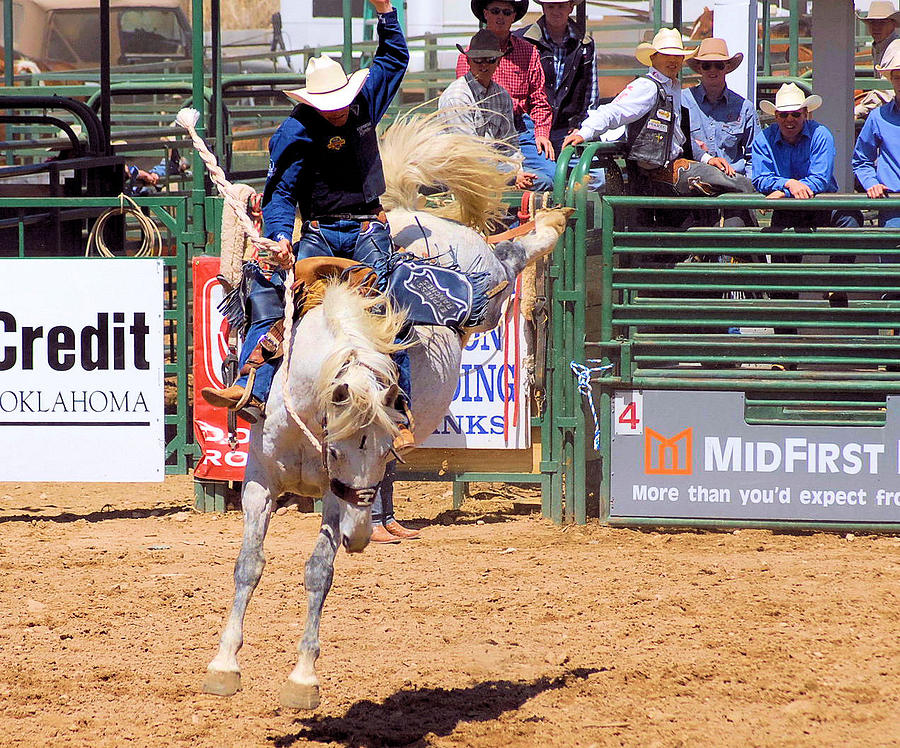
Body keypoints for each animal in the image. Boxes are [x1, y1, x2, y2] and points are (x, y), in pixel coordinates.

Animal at [198, 113, 572, 709]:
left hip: (489, 291)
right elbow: (248, 566)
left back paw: (553, 215)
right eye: (337, 448)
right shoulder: (260, 480)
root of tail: (409, 216)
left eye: (387, 446)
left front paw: (303, 678)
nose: (360, 537)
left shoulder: (335, 497)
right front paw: (225, 664)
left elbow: (318, 572)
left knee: (514, 252)